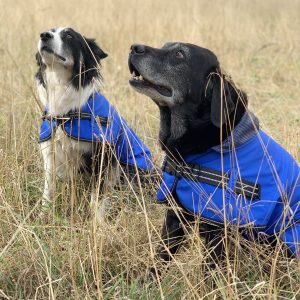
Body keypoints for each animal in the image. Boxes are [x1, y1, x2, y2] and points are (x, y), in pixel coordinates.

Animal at [35, 28, 152, 219]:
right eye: (50, 31)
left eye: (69, 36)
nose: (44, 35)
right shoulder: (51, 152)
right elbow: (48, 189)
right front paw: (43, 215)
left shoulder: (102, 155)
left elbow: (97, 196)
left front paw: (97, 222)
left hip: (128, 169)